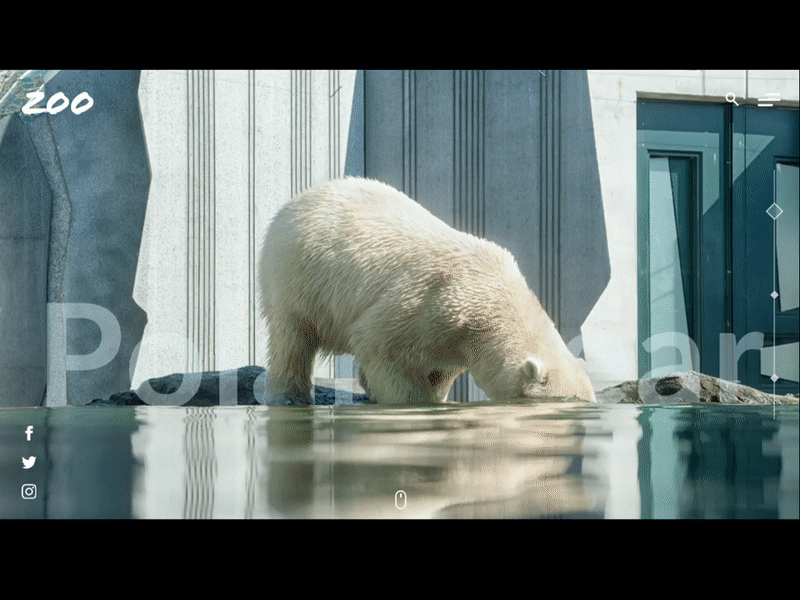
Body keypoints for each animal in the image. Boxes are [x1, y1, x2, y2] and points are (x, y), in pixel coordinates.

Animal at [258, 177, 596, 405]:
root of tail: (301, 197)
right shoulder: (432, 302)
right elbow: (378, 343)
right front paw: (415, 401)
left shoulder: (455, 337)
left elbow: (441, 368)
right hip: (296, 274)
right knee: (292, 336)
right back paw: (289, 395)